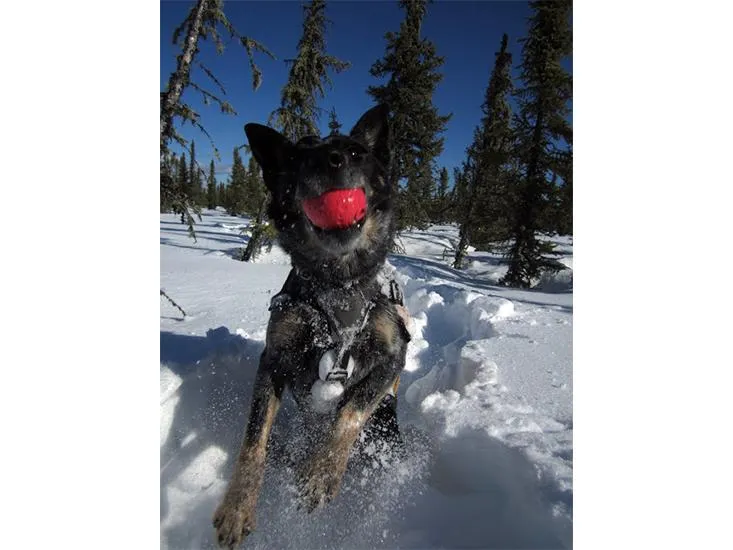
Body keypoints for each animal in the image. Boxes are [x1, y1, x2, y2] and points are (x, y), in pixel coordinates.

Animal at [212, 105, 408, 548]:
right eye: (299, 159)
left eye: (355, 152)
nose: (331, 161)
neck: (338, 286)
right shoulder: (274, 358)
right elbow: (254, 441)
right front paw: (238, 506)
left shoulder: (392, 357)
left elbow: (350, 410)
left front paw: (320, 474)